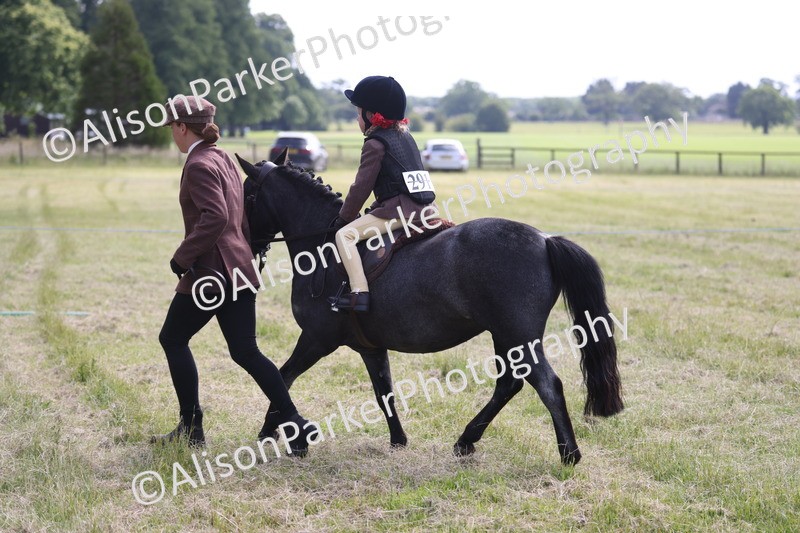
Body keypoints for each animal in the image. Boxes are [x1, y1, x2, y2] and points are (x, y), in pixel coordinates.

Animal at [235, 151, 623, 465]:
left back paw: (569, 454)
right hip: (505, 336)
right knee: (509, 384)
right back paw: (467, 441)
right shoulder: (370, 347)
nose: (247, 242)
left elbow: (282, 376)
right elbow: (384, 392)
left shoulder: (317, 339)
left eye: (248, 195)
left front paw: (274, 431)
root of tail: (544, 240)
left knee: (546, 384)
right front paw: (398, 440)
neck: (323, 249)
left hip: (517, 335)